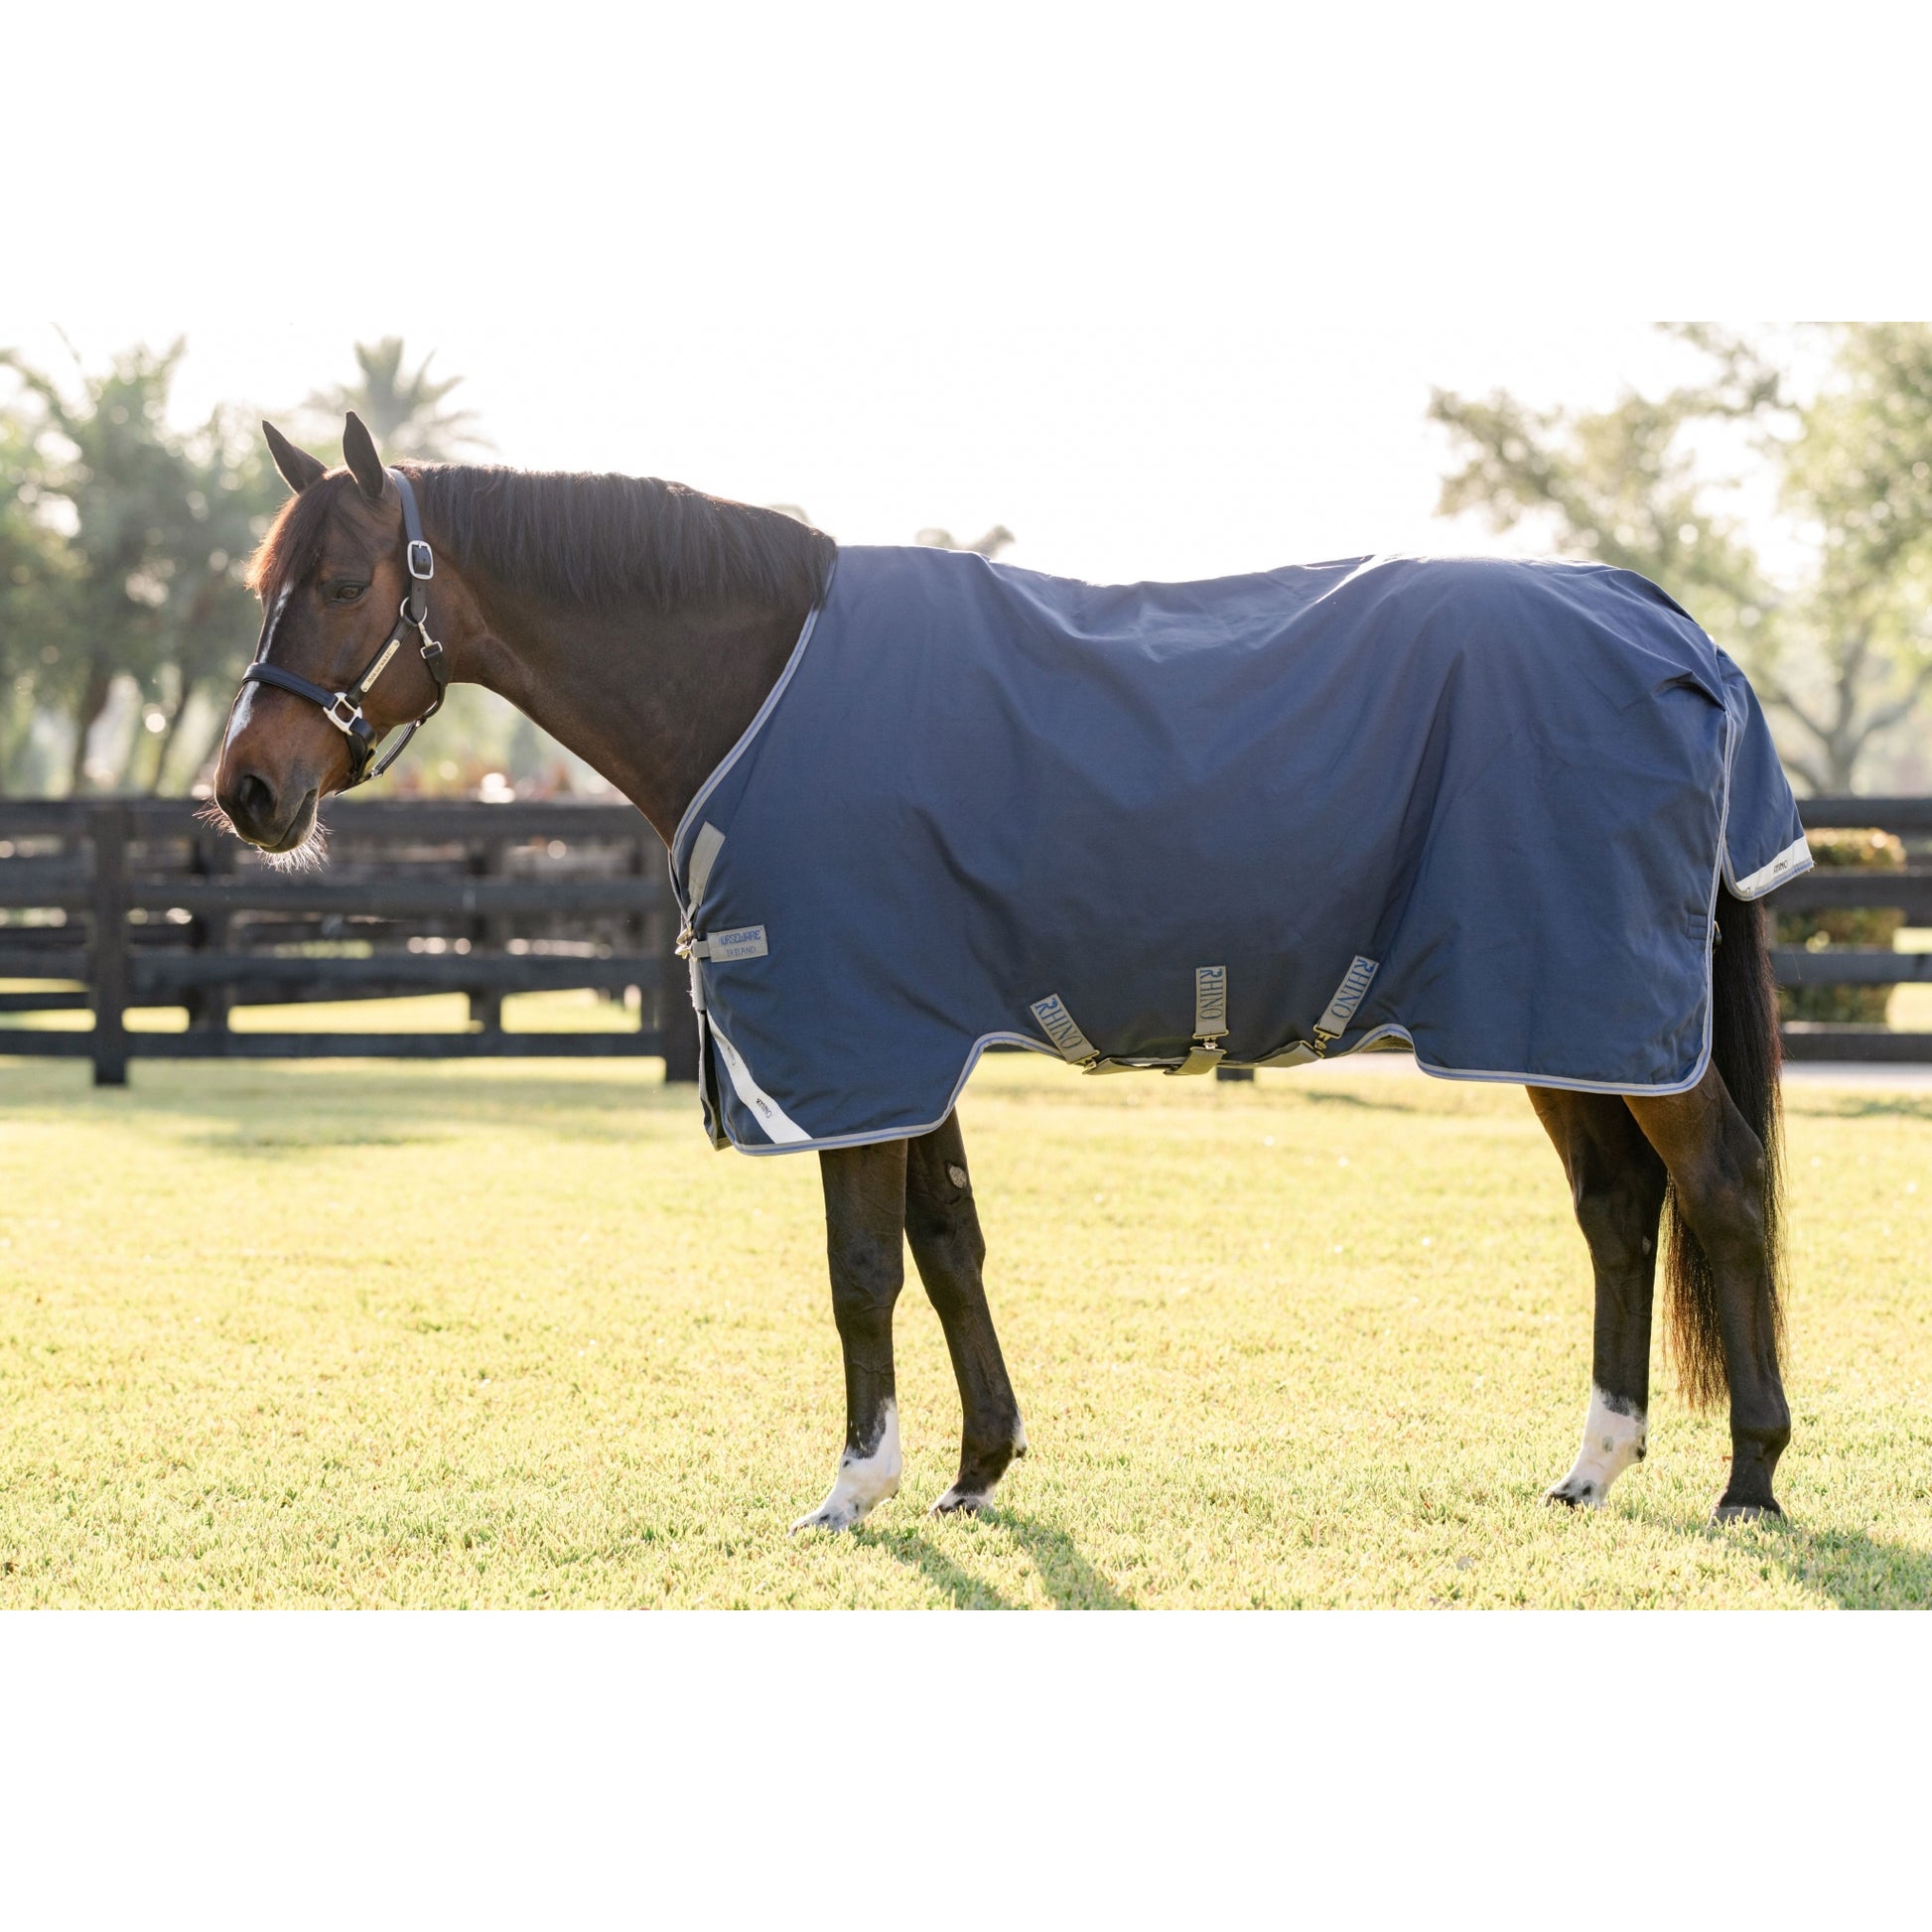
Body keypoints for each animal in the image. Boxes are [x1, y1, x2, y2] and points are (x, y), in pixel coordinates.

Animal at [211, 412, 1797, 1531]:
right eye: (261, 583)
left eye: (343, 581)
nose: (246, 792)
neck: (762, 680)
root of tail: (1667, 622)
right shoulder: (915, 1038)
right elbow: (948, 1242)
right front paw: (978, 1467)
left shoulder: (852, 1039)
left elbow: (859, 1266)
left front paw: (856, 1485)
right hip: (1551, 1012)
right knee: (1616, 1207)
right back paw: (1595, 1464)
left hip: (1600, 1003)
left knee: (1718, 1186)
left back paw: (1750, 1475)